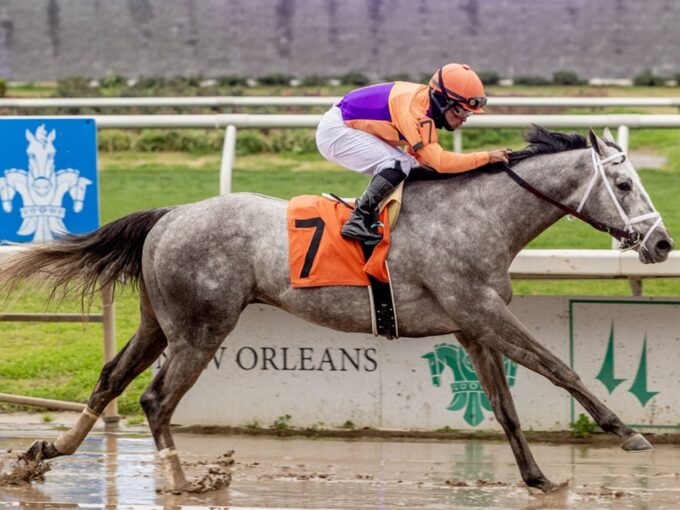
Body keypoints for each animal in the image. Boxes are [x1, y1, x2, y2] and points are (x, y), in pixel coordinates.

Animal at [0, 126, 668, 494]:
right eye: (625, 184)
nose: (661, 244)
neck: (478, 217)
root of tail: (170, 214)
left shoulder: (472, 327)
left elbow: (504, 409)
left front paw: (537, 478)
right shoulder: (483, 313)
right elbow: (561, 368)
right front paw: (629, 434)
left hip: (158, 323)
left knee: (110, 379)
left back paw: (43, 456)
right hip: (201, 328)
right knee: (156, 399)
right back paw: (184, 481)